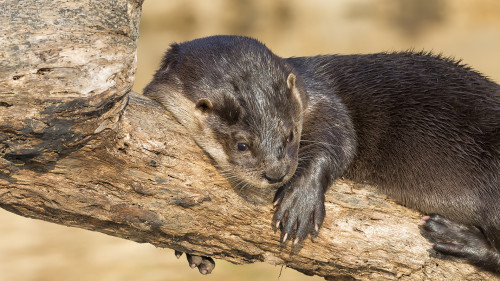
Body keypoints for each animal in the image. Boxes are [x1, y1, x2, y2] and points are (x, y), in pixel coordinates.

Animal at [142, 35, 500, 274]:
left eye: (289, 135)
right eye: (242, 144)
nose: (275, 173)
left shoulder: (320, 96)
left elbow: (342, 139)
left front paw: (301, 200)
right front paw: (193, 252)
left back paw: (454, 237)